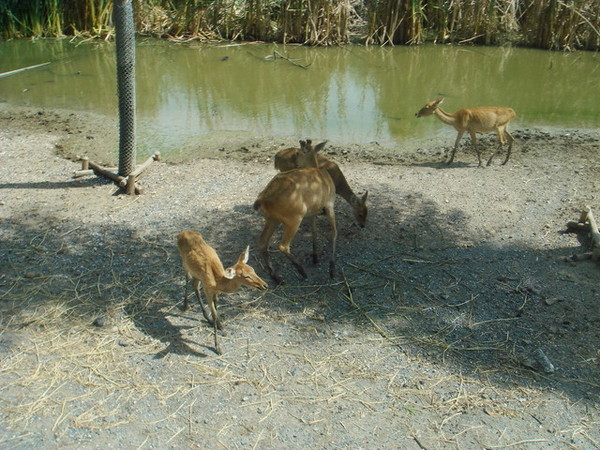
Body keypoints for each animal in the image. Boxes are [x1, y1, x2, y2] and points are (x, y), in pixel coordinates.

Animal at [253, 140, 338, 284]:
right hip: (294, 218)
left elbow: (314, 232)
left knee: (262, 243)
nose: (296, 163)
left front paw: (315, 257)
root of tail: (262, 199)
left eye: (298, 152)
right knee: (282, 245)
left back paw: (276, 277)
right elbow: (334, 232)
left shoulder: (312, 212)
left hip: (271, 218)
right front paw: (332, 270)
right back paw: (302, 271)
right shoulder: (329, 203)